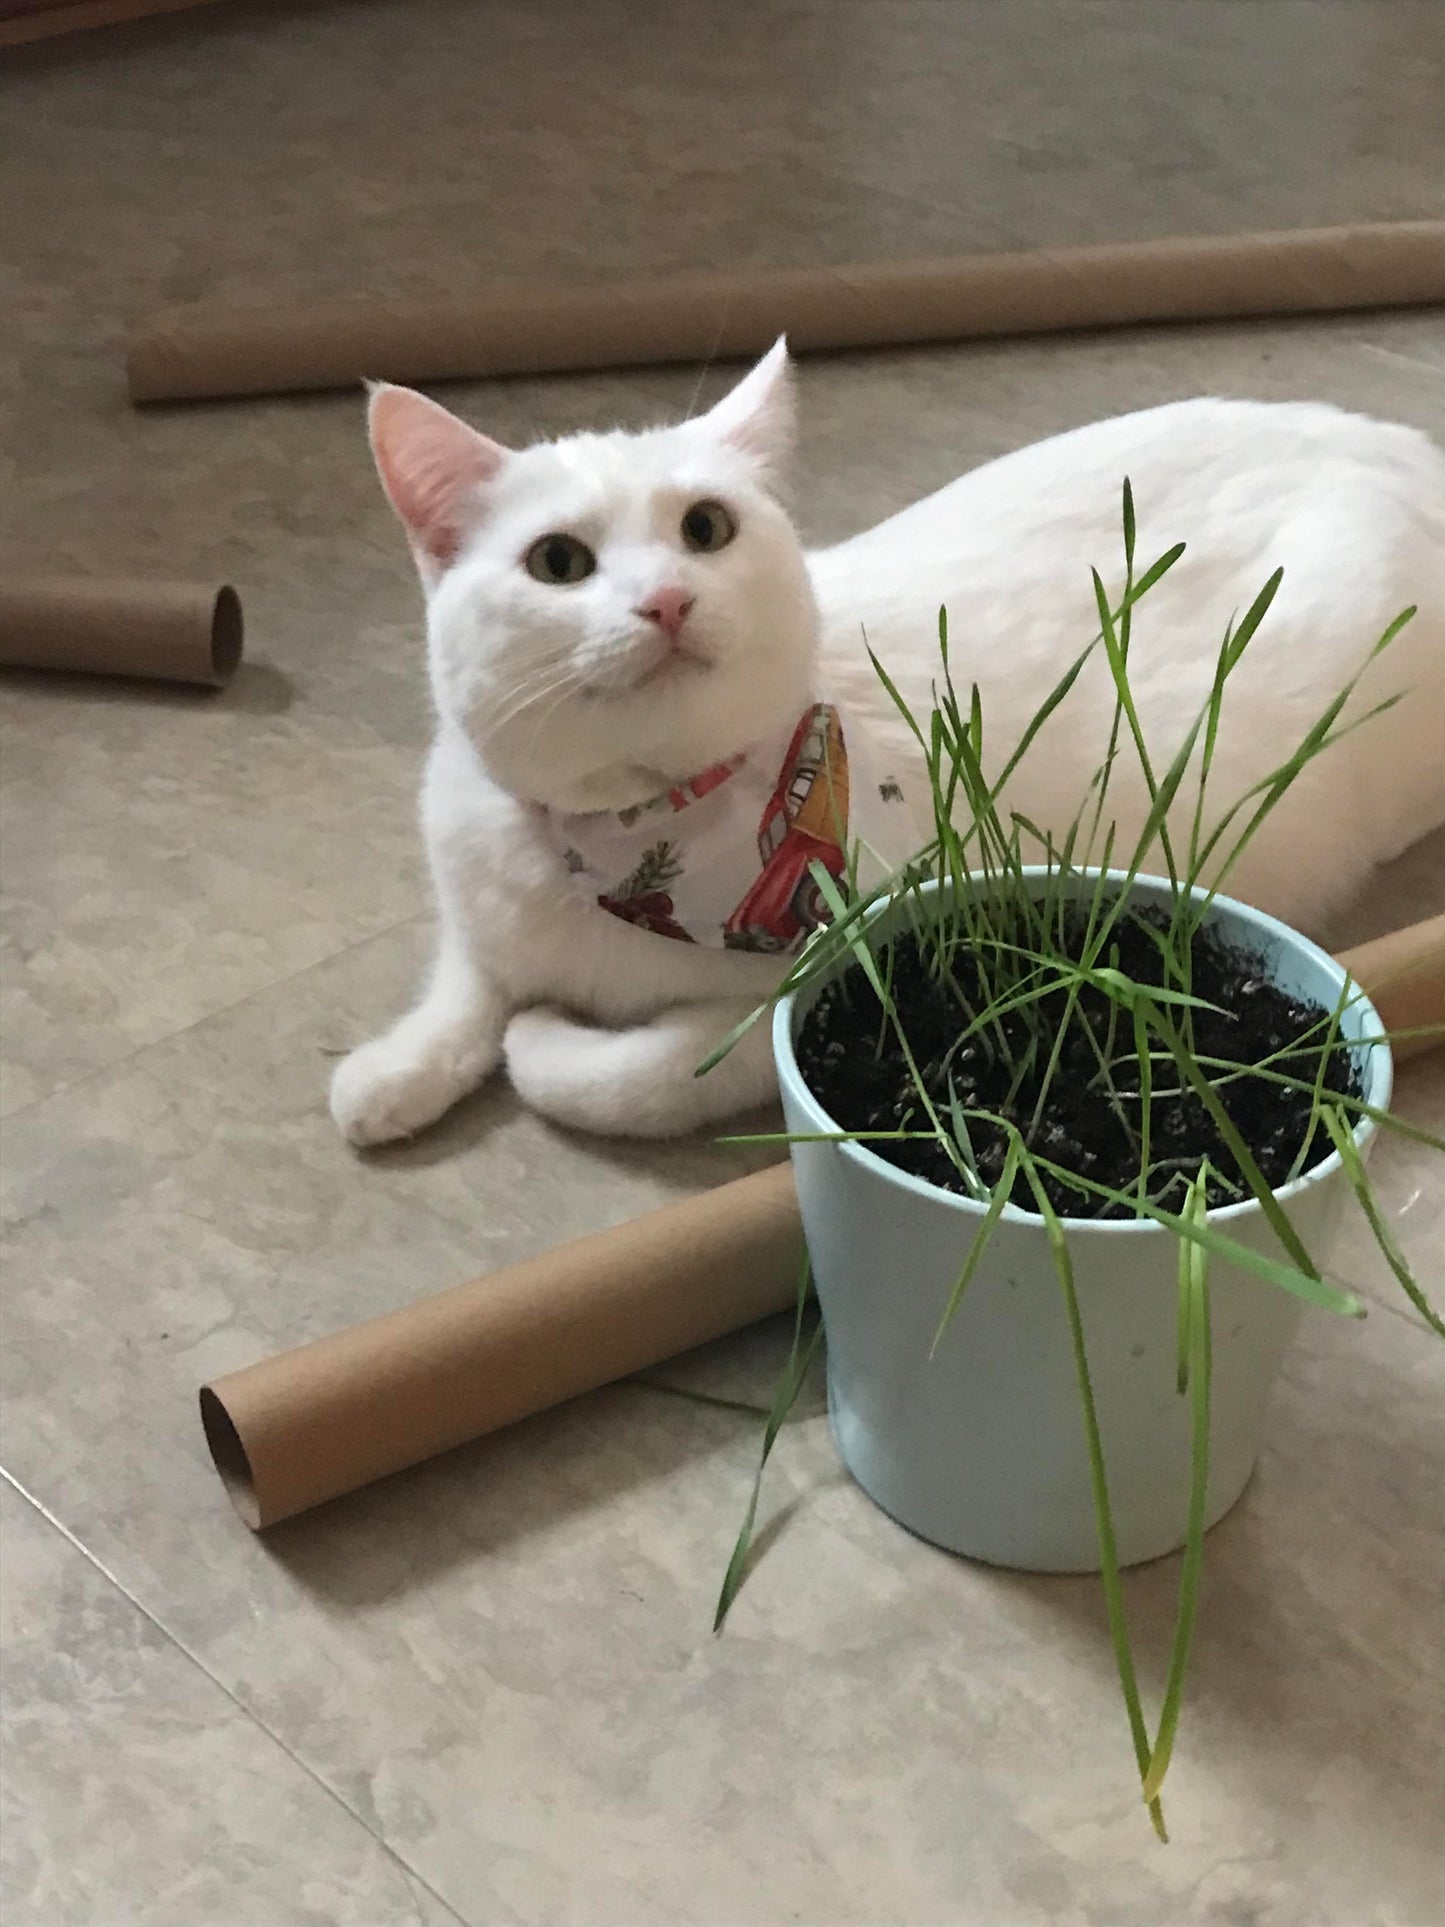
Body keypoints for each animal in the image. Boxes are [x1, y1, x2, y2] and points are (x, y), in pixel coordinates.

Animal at [331, 343, 1445, 1140]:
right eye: (558, 562)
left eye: (705, 530)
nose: (665, 601)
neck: (635, 830)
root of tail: (1408, 446)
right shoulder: (477, 884)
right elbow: (464, 980)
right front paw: (390, 1074)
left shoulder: (803, 995)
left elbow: (625, 1075)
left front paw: (536, 1038)